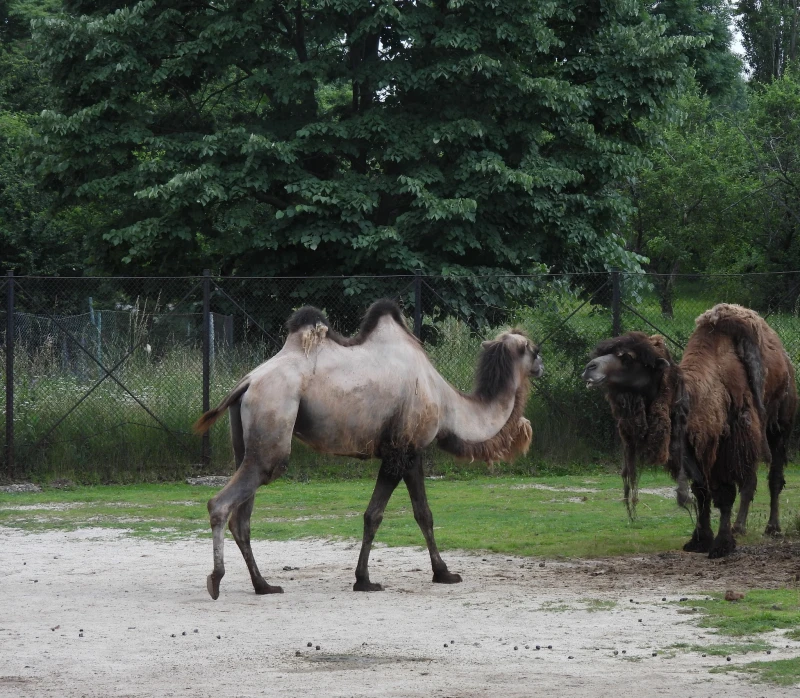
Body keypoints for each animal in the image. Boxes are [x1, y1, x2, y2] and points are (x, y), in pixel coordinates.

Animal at [194, 296, 544, 596]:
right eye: (535, 350)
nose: (542, 366)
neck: (446, 403)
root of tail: (247, 382)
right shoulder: (400, 450)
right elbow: (374, 514)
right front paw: (365, 580)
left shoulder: (413, 453)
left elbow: (423, 513)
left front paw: (442, 573)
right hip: (273, 419)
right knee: (223, 503)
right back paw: (217, 579)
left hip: (246, 442)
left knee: (242, 516)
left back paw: (263, 585)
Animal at [580, 302, 792, 556]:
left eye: (628, 357)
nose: (589, 368)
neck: (698, 396)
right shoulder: (691, 446)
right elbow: (701, 491)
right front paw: (699, 540)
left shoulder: (726, 445)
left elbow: (724, 493)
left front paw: (722, 544)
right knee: (750, 480)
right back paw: (740, 527)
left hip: (778, 425)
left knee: (773, 477)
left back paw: (772, 528)